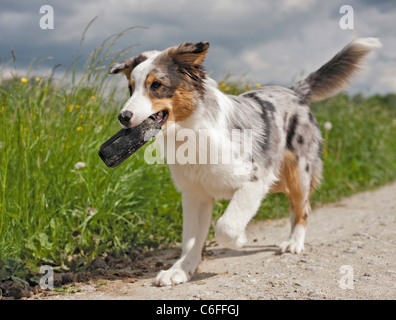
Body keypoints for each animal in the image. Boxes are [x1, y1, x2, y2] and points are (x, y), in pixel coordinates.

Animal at [107, 37, 380, 284]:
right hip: (280, 180)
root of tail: (292, 91)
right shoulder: (195, 195)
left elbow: (225, 226)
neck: (193, 132)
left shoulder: (255, 180)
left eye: (156, 85)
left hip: (296, 174)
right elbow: (190, 240)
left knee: (303, 207)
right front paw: (181, 270)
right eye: (131, 88)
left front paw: (240, 239)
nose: (123, 116)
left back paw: (294, 243)